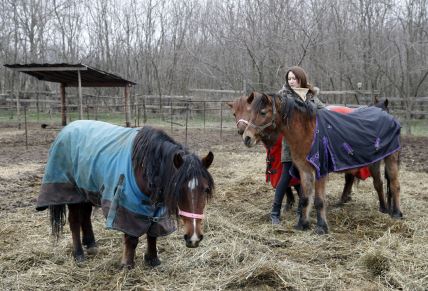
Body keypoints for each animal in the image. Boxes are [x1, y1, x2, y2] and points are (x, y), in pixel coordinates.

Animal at [37, 120, 214, 270]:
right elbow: (132, 237)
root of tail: (67, 128)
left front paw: (153, 260)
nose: (194, 238)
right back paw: (79, 254)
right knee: (74, 221)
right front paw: (127, 264)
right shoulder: (127, 205)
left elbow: (153, 233)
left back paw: (91, 245)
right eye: (178, 190)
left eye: (205, 189)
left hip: (86, 191)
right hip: (73, 193)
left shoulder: (157, 208)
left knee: (85, 217)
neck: (144, 167)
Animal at [242, 93, 402, 235]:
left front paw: (321, 227)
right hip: (374, 161)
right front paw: (302, 224)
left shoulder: (320, 170)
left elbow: (319, 200)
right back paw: (383, 209)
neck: (308, 132)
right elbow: (305, 198)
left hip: (390, 159)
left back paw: (397, 213)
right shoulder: (305, 171)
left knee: (394, 185)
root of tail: (388, 116)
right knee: (378, 183)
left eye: (263, 112)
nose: (246, 138)